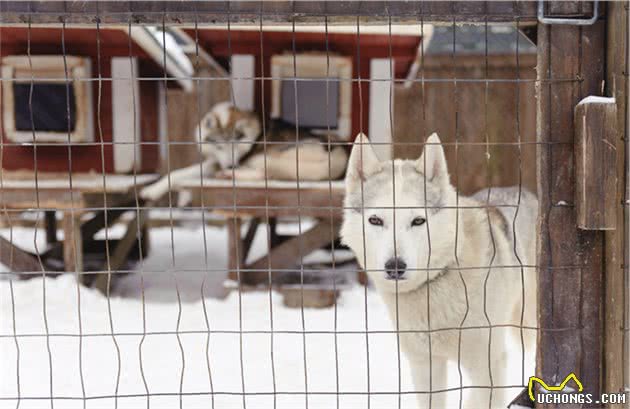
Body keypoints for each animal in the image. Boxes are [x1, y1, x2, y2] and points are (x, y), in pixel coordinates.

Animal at [142, 102, 350, 201]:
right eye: (219, 146)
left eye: (235, 144)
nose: (231, 165)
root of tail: (340, 153)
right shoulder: (215, 161)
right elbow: (176, 173)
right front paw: (152, 190)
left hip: (267, 157)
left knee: (264, 174)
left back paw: (229, 175)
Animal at [340, 132, 540, 406]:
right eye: (375, 220)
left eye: (418, 221)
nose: (395, 267)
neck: (439, 279)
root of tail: (526, 193)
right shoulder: (425, 367)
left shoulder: (488, 367)